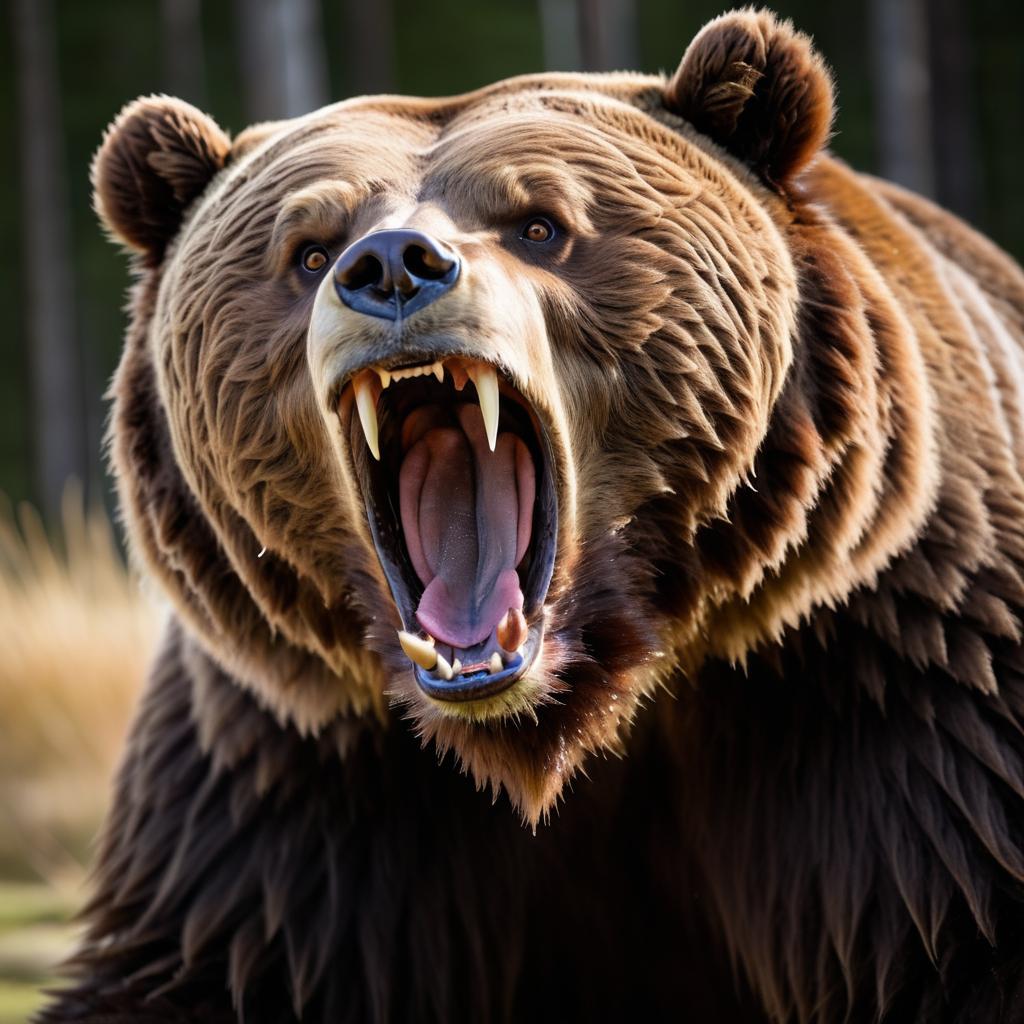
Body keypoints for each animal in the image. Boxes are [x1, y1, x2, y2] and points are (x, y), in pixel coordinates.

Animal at [41, 8, 1024, 1024]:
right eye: (308, 247)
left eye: (541, 224)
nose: (392, 266)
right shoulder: (289, 769)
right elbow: (206, 960)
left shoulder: (890, 684)